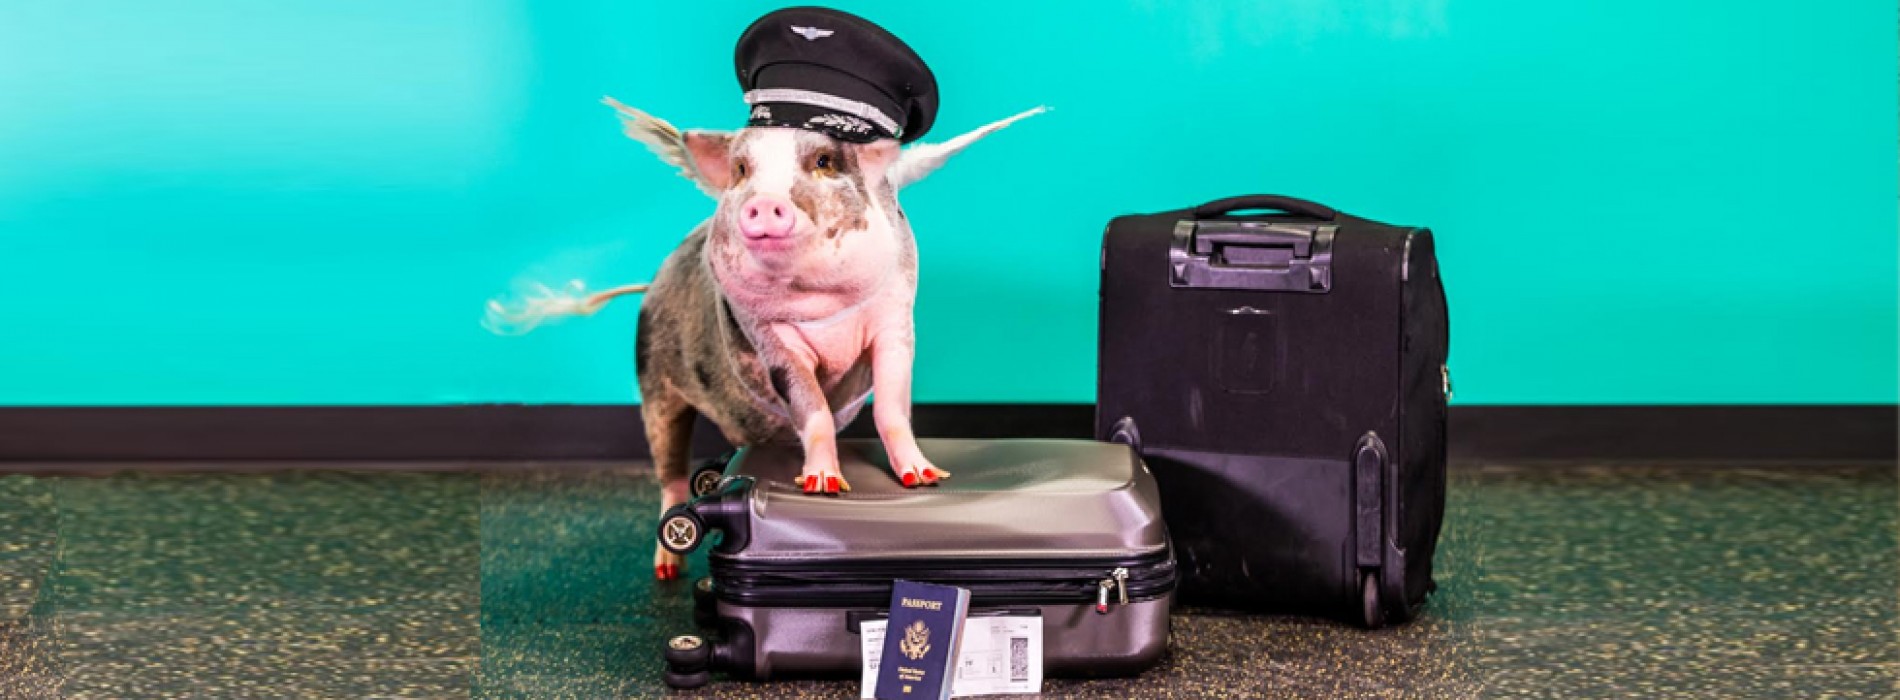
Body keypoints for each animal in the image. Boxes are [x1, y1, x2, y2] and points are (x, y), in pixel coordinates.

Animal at [486, 98, 1041, 578]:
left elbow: (892, 406)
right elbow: (811, 404)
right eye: (740, 170)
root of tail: (653, 283)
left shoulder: (894, 324)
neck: (824, 307)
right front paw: (823, 486)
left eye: (823, 161)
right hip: (655, 386)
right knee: (669, 473)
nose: (766, 203)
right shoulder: (773, 340)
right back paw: (667, 570)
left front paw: (925, 477)